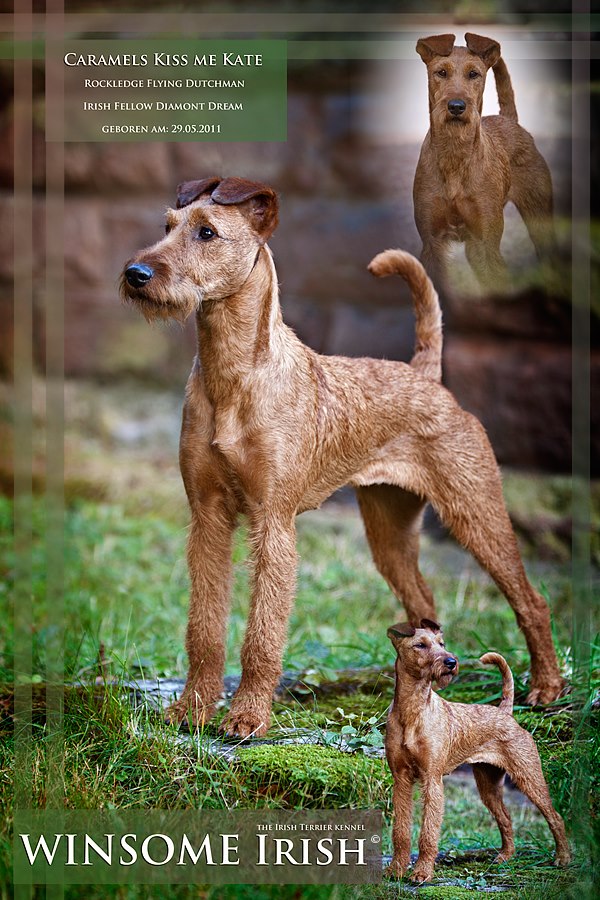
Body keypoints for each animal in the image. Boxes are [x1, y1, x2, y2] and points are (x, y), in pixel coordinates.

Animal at [120, 178, 564, 740]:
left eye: (207, 232)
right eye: (167, 225)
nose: (136, 274)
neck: (235, 375)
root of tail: (428, 375)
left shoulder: (273, 523)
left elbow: (262, 632)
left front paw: (247, 717)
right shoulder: (207, 517)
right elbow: (204, 626)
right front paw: (191, 711)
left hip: (477, 513)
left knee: (532, 601)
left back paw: (546, 689)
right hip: (388, 533)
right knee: (425, 606)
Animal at [386, 624, 568, 884]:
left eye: (441, 644)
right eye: (420, 645)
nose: (451, 662)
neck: (412, 711)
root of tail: (506, 712)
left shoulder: (432, 779)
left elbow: (428, 832)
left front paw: (422, 872)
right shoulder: (401, 779)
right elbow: (400, 831)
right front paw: (396, 870)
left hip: (529, 776)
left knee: (555, 817)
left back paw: (563, 858)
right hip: (487, 785)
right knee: (506, 818)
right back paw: (505, 857)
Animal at [414, 31, 556, 290]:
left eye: (474, 74)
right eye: (441, 72)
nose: (456, 106)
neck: (454, 155)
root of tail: (509, 120)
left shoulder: (486, 243)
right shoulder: (432, 242)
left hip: (539, 216)